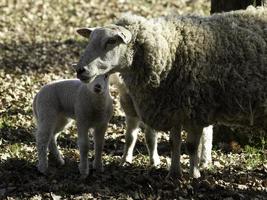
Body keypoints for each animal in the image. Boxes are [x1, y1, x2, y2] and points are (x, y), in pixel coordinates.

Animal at [73, 6, 267, 179]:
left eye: (111, 42)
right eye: (90, 40)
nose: (80, 70)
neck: (170, 53)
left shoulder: (196, 109)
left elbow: (191, 145)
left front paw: (194, 174)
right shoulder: (173, 106)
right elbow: (174, 143)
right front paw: (174, 173)